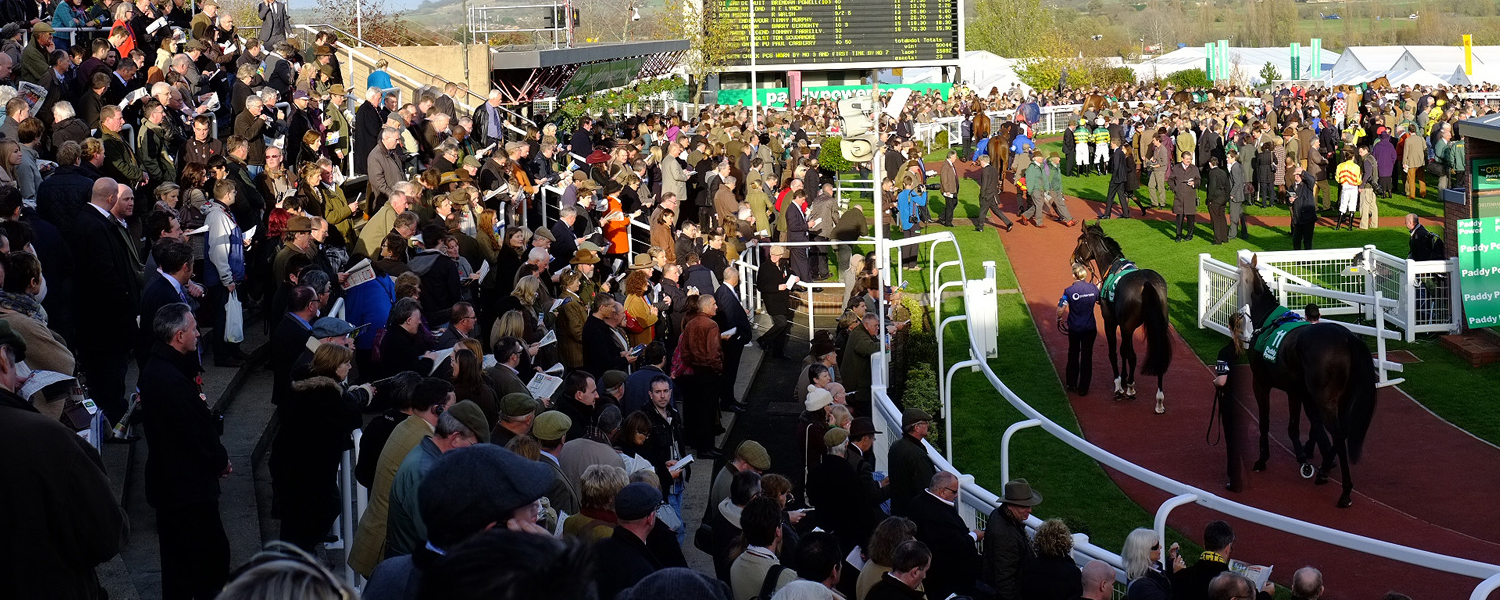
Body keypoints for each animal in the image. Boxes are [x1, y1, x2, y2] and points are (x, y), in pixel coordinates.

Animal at [1074, 223, 1176, 414]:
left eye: (1079, 241)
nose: (1073, 258)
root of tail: (1147, 283)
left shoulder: (1112, 322)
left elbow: (1115, 352)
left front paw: (1120, 386)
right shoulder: (1125, 326)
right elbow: (1123, 352)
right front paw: (1126, 380)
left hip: (1127, 326)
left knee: (1131, 355)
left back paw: (1130, 389)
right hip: (1159, 325)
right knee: (1157, 354)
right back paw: (1159, 400)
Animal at [1236, 255, 1374, 510]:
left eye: (1239, 276)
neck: (1267, 317)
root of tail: (1349, 339)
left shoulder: (1260, 383)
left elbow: (1265, 422)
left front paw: (1263, 459)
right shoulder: (1296, 391)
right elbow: (1294, 426)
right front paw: (1303, 458)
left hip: (1326, 400)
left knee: (1338, 434)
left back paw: (1345, 491)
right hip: (1341, 399)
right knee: (1343, 431)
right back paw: (1324, 470)